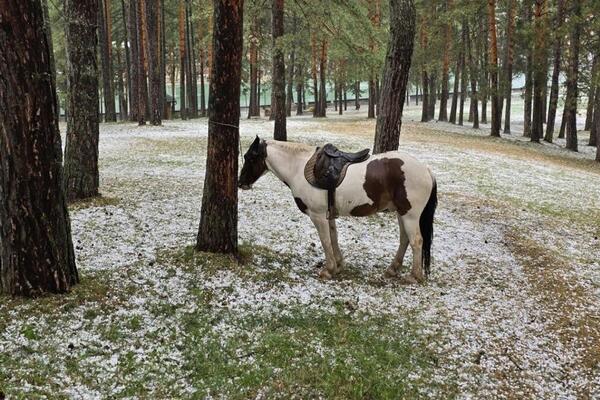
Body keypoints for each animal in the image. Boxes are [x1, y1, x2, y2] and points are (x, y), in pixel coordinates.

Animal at [237, 138, 438, 284]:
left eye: (250, 158)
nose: (241, 183)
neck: (298, 168)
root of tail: (427, 170)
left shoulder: (318, 215)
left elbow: (325, 240)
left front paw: (329, 270)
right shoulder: (328, 214)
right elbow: (333, 237)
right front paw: (339, 265)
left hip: (410, 215)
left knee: (416, 241)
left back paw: (414, 276)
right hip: (401, 213)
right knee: (405, 239)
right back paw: (392, 269)